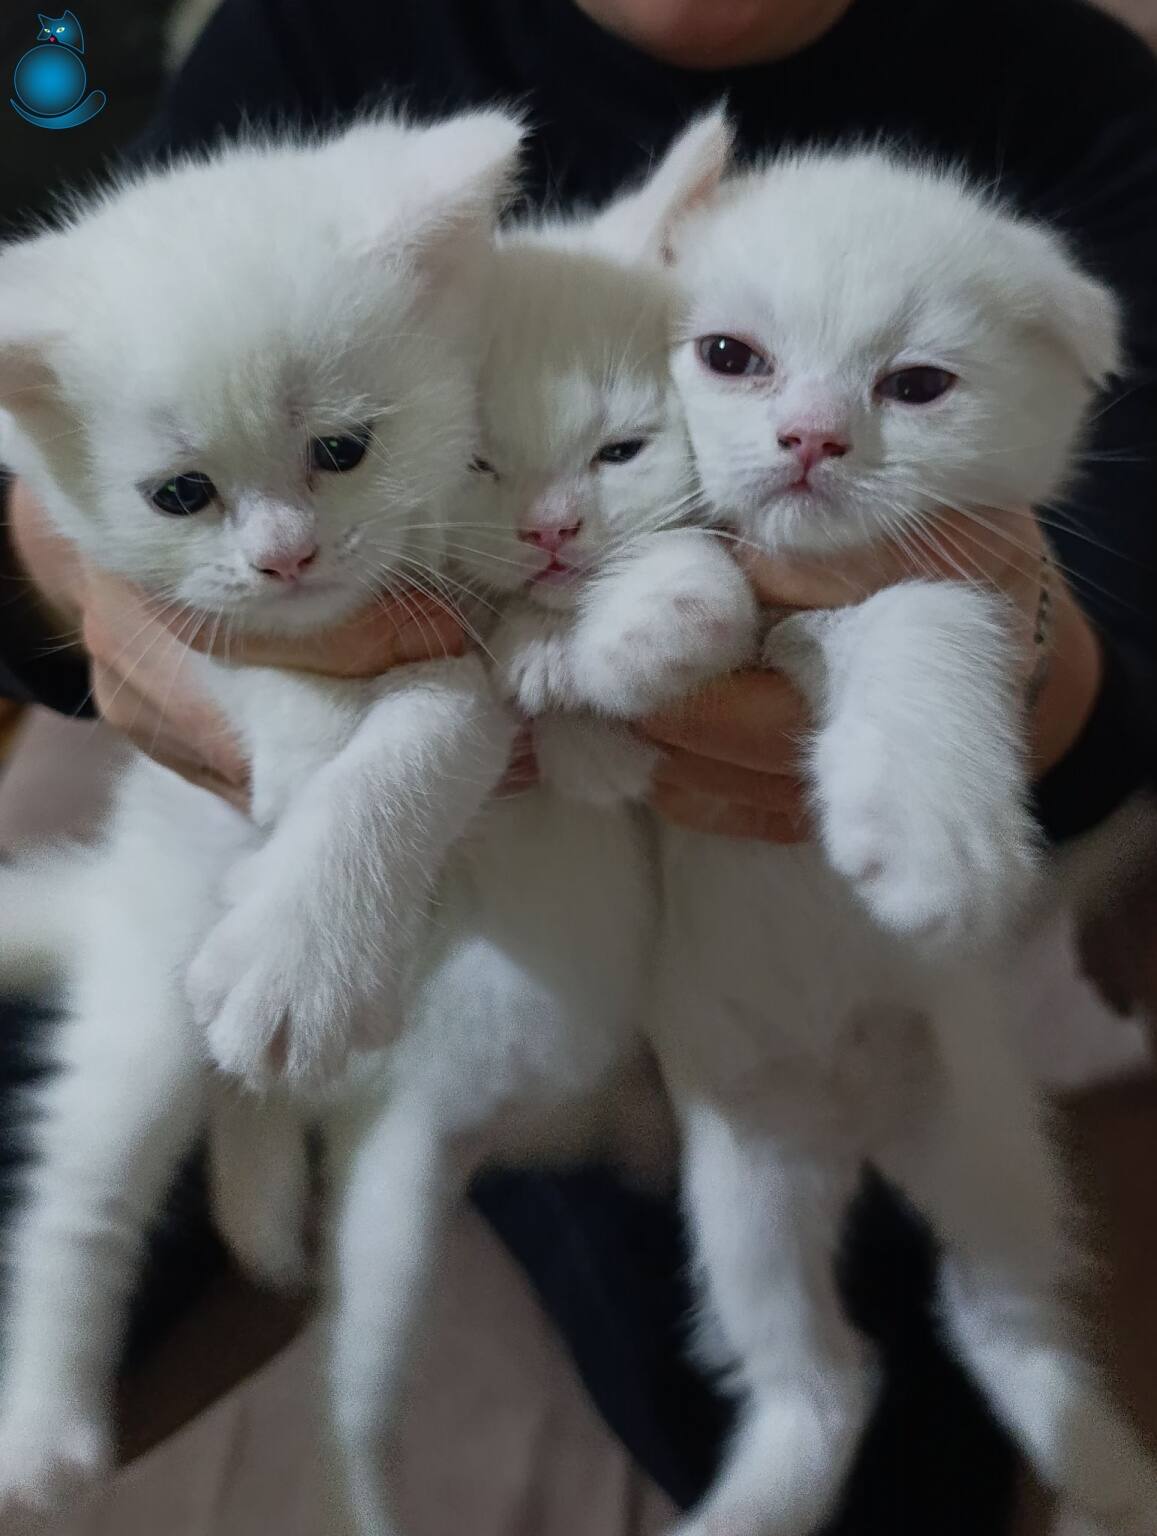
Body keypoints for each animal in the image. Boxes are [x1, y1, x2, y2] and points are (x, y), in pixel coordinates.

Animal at [647, 147, 1157, 1535]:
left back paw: (1102, 1470)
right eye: (730, 356)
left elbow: (918, 620)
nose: (810, 436)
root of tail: (851, 1118)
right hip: (747, 1184)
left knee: (993, 1316)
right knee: (821, 1374)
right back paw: (759, 1493)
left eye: (916, 385)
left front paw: (930, 829)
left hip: (981, 1141)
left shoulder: (954, 576)